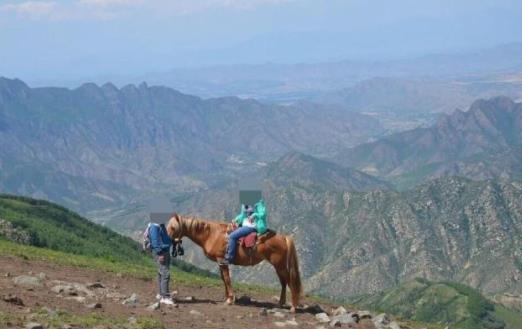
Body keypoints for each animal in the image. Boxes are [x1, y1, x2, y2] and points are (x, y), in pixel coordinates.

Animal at [167, 213, 300, 310]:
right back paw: (280, 304)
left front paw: (230, 299)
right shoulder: (220, 262)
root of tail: (283, 237)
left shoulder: (222, 260)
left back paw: (293, 307)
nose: (166, 240)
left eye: (173, 227)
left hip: (280, 265)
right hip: (278, 266)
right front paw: (227, 297)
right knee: (283, 283)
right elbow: (223, 279)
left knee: (289, 281)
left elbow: (227, 279)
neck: (211, 234)